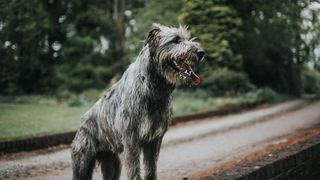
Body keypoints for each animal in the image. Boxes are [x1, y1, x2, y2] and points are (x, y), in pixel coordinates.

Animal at [71, 23, 204, 180]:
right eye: (176, 40)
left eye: (188, 38)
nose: (201, 52)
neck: (152, 87)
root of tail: (82, 121)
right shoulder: (131, 140)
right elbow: (134, 170)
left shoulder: (154, 140)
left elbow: (150, 168)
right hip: (82, 163)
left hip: (112, 163)